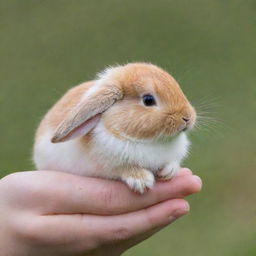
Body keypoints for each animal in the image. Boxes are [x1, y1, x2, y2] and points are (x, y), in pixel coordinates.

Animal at [33, 63, 195, 193]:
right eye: (148, 100)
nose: (187, 118)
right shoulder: (112, 164)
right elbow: (123, 168)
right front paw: (141, 181)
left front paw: (169, 172)